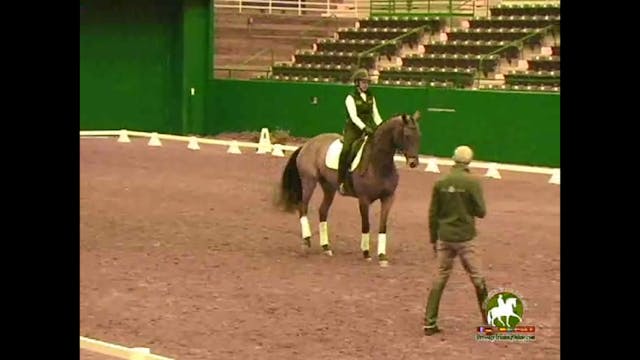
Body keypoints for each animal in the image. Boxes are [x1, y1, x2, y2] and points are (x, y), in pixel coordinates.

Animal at [274, 112, 420, 268]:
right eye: (406, 135)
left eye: (419, 135)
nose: (413, 163)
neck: (378, 164)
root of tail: (308, 143)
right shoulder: (364, 200)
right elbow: (366, 225)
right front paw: (366, 254)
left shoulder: (388, 198)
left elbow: (382, 226)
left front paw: (382, 257)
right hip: (308, 182)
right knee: (303, 207)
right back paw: (306, 242)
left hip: (329, 187)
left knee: (322, 211)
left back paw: (326, 248)